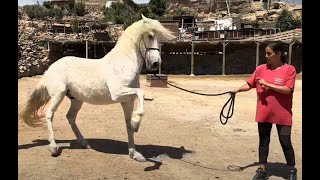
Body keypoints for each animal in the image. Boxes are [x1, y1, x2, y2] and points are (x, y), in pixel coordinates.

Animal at [19, 14, 175, 162]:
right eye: (150, 35)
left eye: (160, 38)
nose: (156, 63)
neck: (122, 64)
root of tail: (50, 68)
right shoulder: (118, 94)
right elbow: (141, 94)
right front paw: (136, 123)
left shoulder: (127, 100)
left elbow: (128, 124)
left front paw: (135, 154)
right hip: (58, 95)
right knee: (49, 114)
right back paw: (53, 147)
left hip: (76, 99)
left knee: (70, 117)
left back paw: (84, 143)